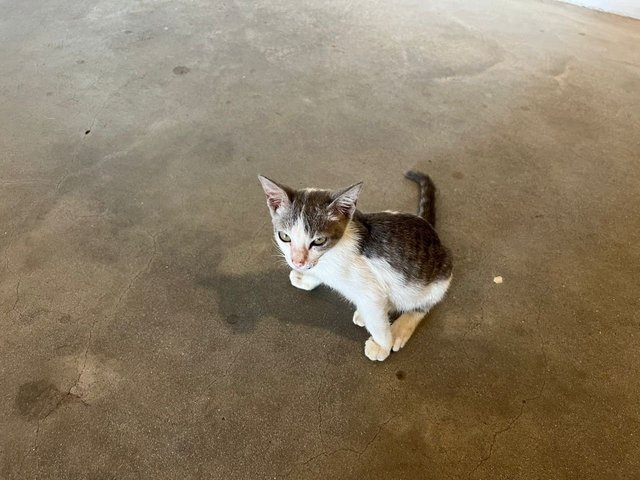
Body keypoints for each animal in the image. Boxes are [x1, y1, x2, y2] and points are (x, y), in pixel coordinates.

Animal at [258, 171, 452, 362]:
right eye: (284, 236)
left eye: (319, 240)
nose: (298, 262)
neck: (330, 256)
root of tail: (433, 233)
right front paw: (305, 278)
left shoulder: (371, 293)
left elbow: (377, 319)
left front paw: (382, 346)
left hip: (437, 279)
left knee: (422, 305)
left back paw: (398, 330)